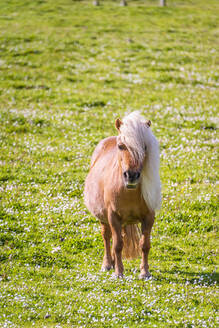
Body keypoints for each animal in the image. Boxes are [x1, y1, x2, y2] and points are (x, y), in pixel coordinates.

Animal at [84, 111, 161, 278]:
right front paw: (119, 272)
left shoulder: (148, 217)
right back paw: (108, 264)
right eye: (121, 146)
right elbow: (117, 245)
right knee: (107, 237)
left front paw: (145, 272)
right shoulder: (113, 217)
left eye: (145, 147)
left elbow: (144, 245)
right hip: (104, 219)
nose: (131, 175)